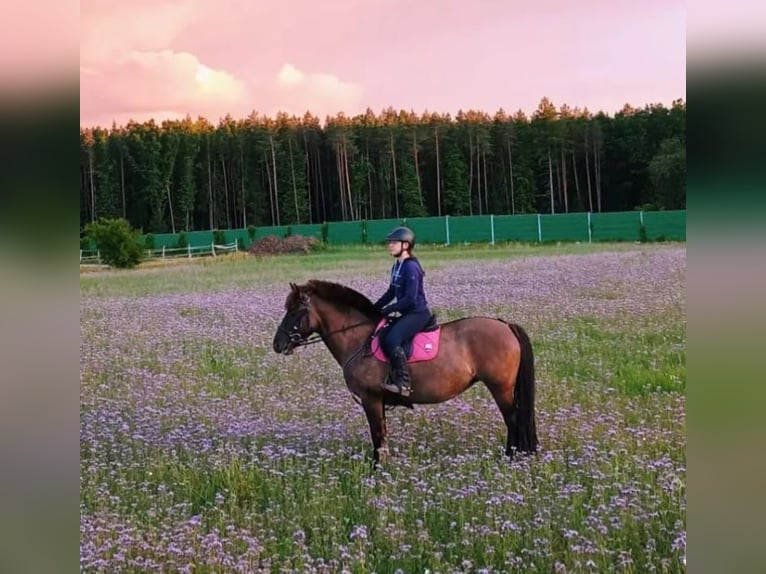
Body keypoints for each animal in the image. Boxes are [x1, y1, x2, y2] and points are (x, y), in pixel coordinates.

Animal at [272, 282, 540, 466]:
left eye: (295, 311)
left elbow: (377, 435)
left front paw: (377, 471)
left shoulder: (371, 399)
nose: (277, 344)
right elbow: (382, 435)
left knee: (513, 420)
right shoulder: (378, 401)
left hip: (500, 387)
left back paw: (511, 458)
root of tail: (505, 325)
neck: (359, 339)